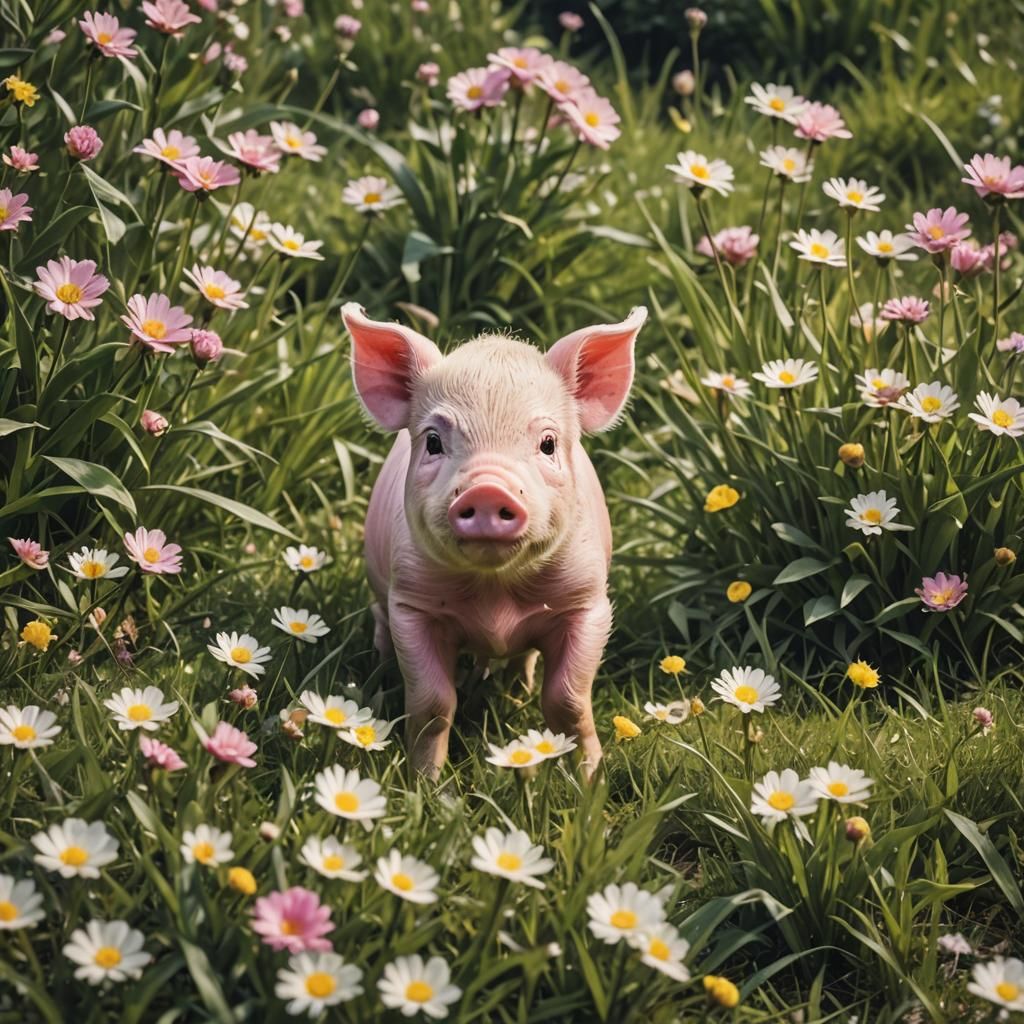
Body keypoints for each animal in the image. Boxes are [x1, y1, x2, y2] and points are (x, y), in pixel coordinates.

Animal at [341, 302, 648, 778]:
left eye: (547, 443)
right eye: (433, 441)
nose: (487, 489)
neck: (495, 594)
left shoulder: (588, 603)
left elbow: (568, 701)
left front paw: (590, 777)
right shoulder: (412, 604)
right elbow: (432, 704)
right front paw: (425, 783)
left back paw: (517, 690)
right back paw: (382, 667)